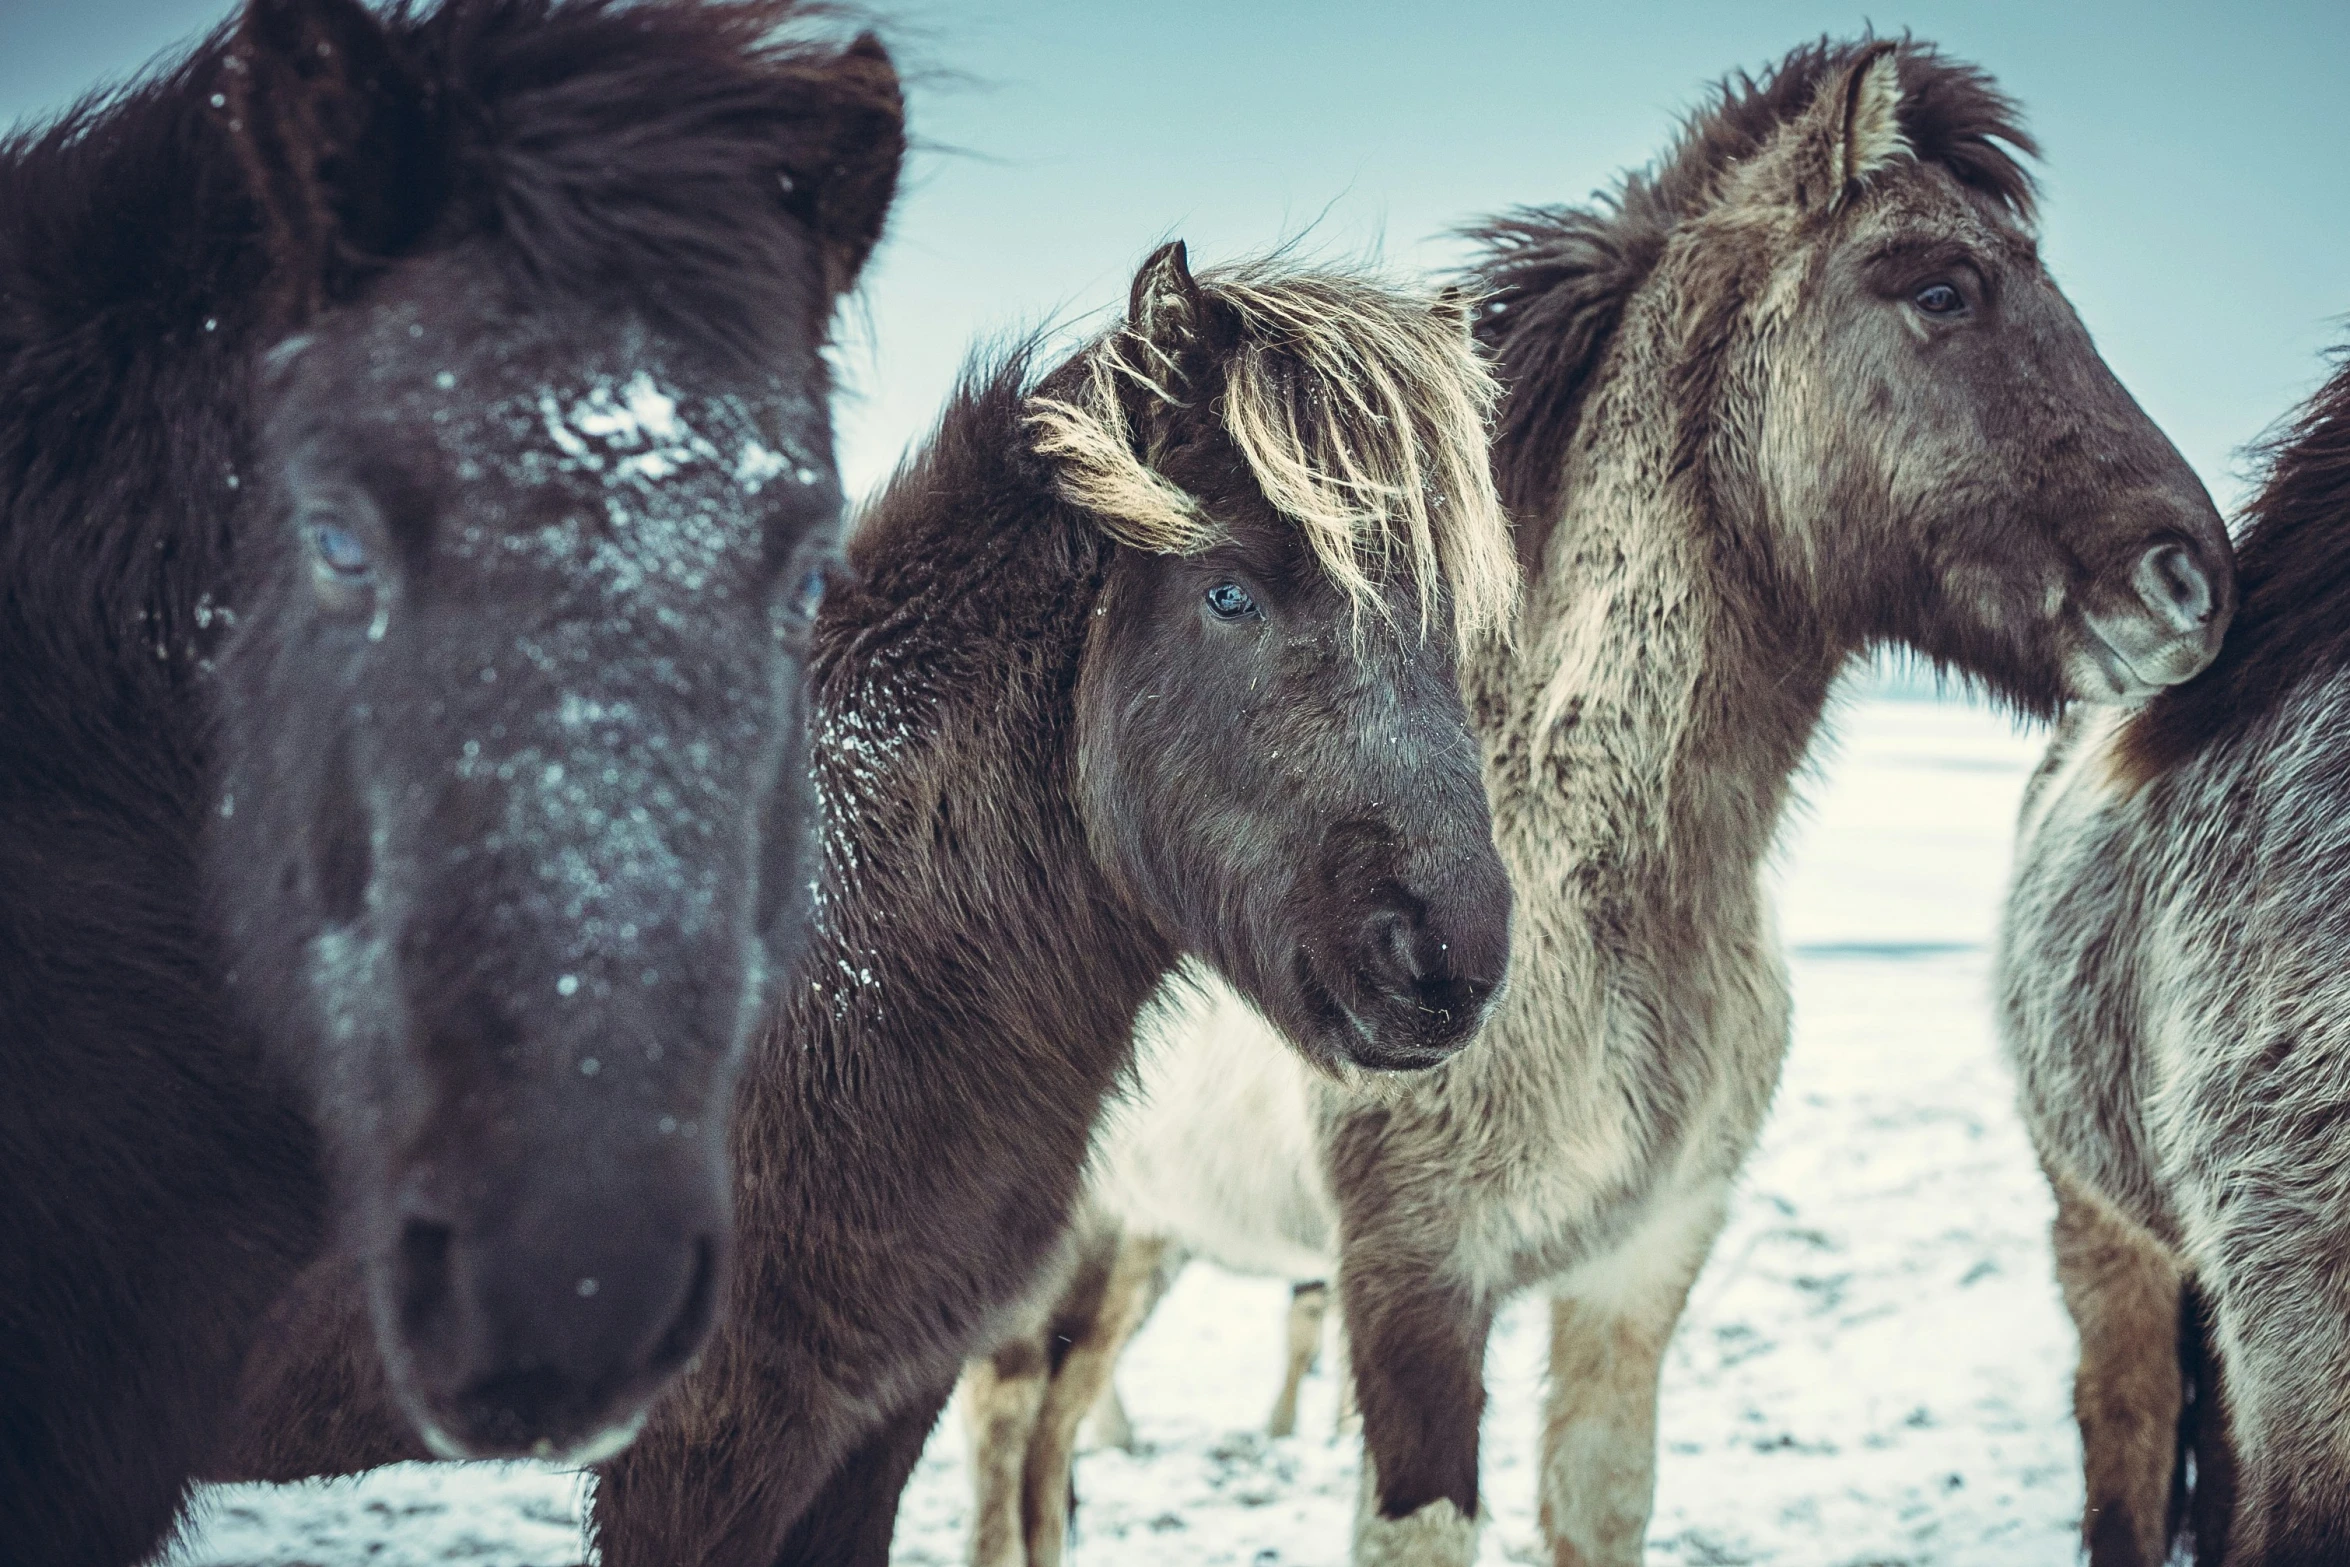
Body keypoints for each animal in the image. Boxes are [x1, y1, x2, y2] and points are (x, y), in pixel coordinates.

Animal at [202, 239, 1522, 1559]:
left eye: (1452, 621)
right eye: (1232, 593)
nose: (1446, 957)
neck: (841, 957)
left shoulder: (876, 1415)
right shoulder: (712, 1440)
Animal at [963, 36, 2227, 1567]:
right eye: (1940, 288)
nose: (2191, 578)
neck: (1582, 879)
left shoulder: (1637, 1272)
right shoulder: (1412, 1286)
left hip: (1143, 1238)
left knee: (1052, 1429)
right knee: (1006, 1417)